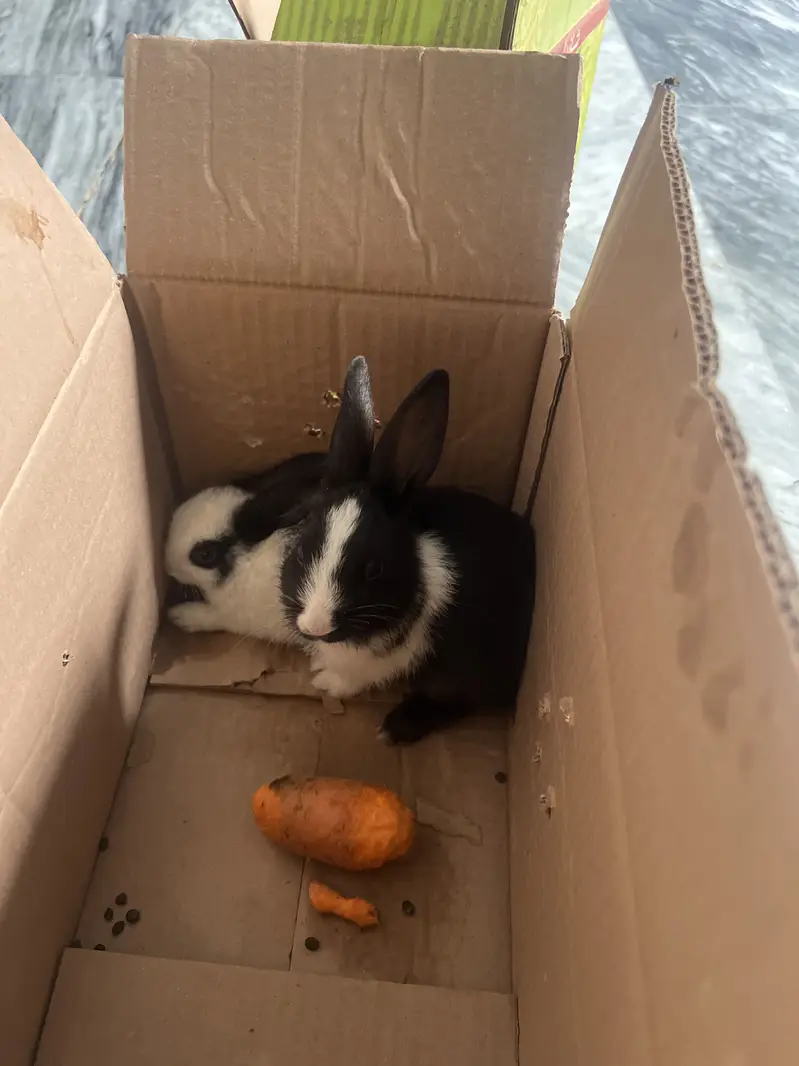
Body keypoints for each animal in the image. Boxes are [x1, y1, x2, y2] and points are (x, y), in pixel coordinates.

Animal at [279, 356, 537, 744]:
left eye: (374, 570)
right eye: (299, 551)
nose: (314, 626)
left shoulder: (386, 661)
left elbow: (357, 677)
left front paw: (325, 680)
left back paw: (395, 727)